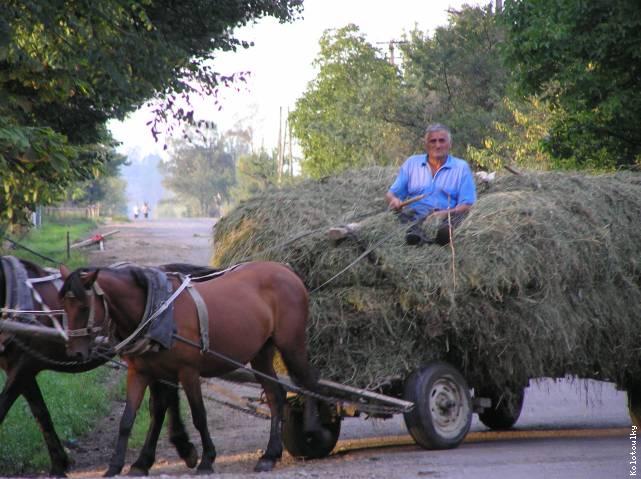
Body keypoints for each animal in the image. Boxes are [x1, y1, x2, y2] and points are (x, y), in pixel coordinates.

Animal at [0, 260, 206, 478]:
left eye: (84, 308)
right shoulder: (20, 369)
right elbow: (41, 413)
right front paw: (59, 464)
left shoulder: (24, 365)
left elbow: (5, 407)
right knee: (166, 397)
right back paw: (180, 448)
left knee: (160, 403)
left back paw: (153, 458)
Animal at [60, 262, 322, 476]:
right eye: (63, 306)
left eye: (84, 306)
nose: (75, 353)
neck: (157, 310)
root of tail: (286, 270)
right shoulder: (142, 373)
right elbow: (130, 419)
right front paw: (122, 466)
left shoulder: (188, 372)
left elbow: (198, 415)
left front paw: (206, 460)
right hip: (261, 353)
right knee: (275, 395)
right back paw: (270, 455)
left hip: (291, 345)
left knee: (310, 382)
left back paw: (313, 430)